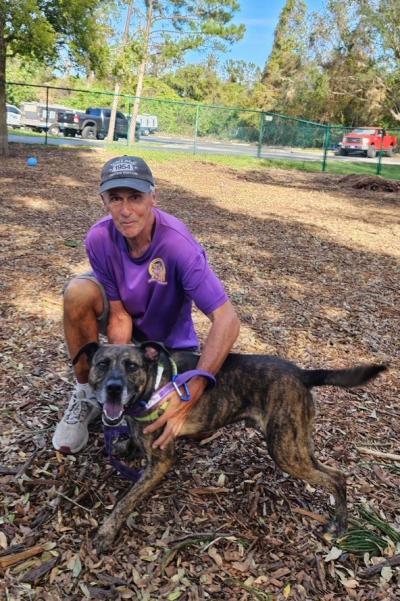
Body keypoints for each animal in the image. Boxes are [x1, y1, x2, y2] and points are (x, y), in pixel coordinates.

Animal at [74, 342, 384, 552]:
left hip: (285, 451)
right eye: (102, 364)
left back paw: (340, 525)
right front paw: (127, 444)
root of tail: (302, 373)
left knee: (337, 478)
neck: (153, 383)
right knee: (337, 473)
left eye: (131, 366)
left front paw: (106, 531)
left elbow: (125, 500)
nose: (114, 388)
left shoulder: (161, 463)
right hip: (298, 445)